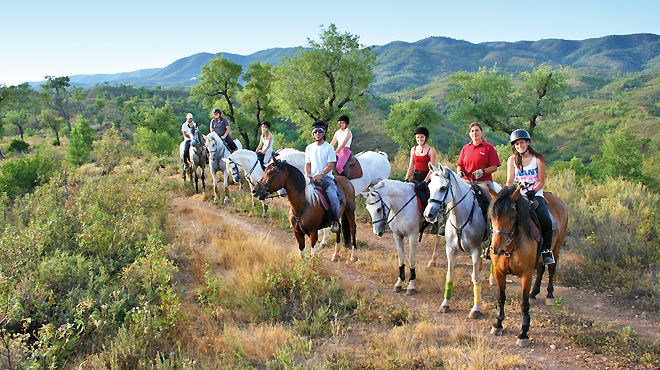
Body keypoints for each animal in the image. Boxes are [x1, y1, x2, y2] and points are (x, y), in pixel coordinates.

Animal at [426, 163, 488, 320]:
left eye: (443, 188)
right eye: (429, 186)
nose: (428, 214)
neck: (461, 217)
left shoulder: (475, 250)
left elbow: (475, 278)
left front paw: (476, 309)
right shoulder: (450, 250)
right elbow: (450, 275)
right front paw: (445, 304)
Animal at [488, 186, 568, 348]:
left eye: (513, 216)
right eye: (492, 217)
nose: (497, 249)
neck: (511, 246)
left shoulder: (526, 275)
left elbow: (524, 304)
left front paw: (523, 333)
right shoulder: (499, 273)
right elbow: (501, 298)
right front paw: (498, 324)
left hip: (556, 248)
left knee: (551, 268)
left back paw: (549, 295)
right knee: (541, 269)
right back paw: (534, 293)